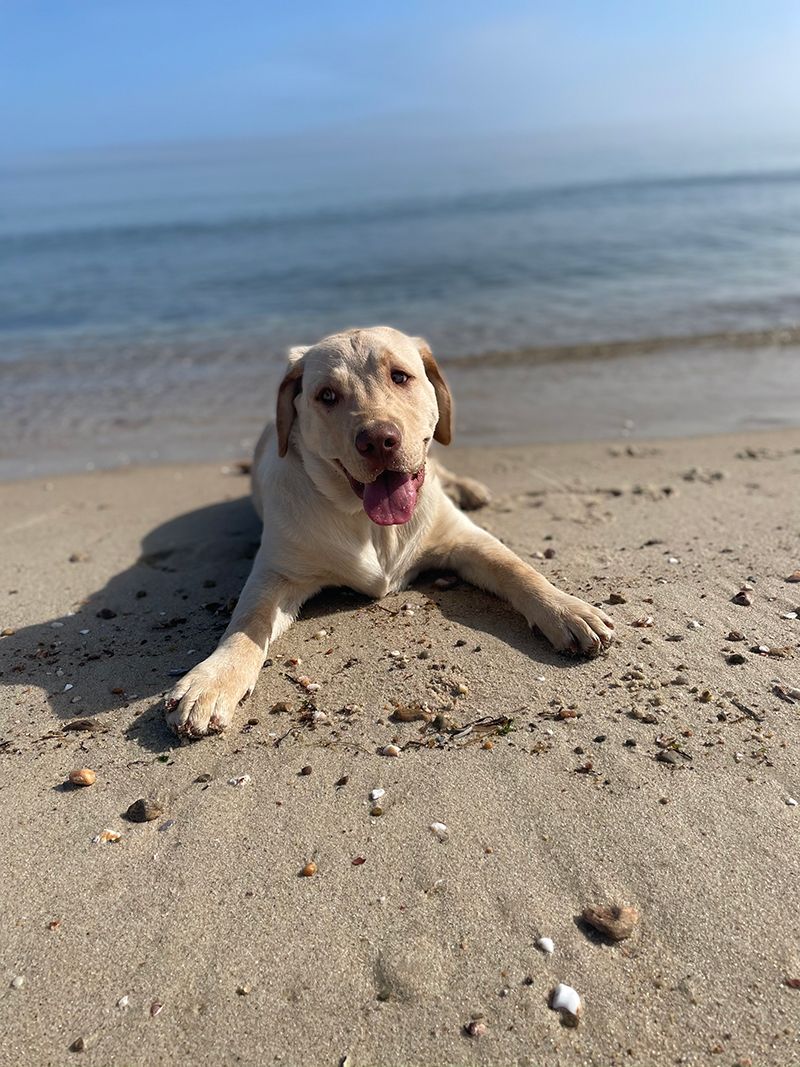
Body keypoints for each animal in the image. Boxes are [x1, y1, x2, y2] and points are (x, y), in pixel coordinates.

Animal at [166, 326, 618, 742]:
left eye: (400, 376)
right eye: (326, 395)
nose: (378, 440)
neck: (372, 525)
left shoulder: (464, 538)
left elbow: (517, 568)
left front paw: (566, 609)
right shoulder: (277, 573)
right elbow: (248, 622)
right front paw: (212, 680)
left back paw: (471, 488)